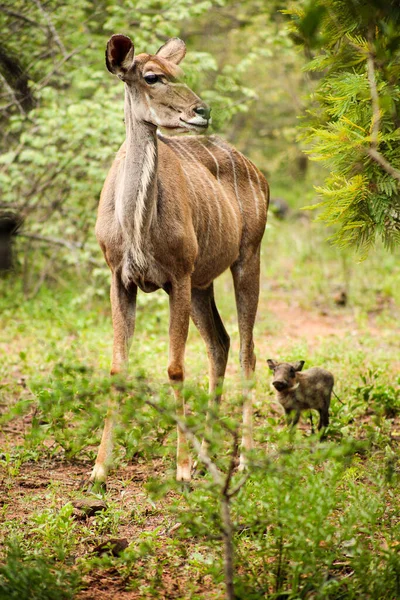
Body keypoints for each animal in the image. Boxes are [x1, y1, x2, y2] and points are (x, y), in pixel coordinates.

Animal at [91, 34, 268, 488]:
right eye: (152, 76)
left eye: (178, 72)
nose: (201, 112)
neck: (136, 225)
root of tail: (258, 172)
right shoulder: (120, 278)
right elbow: (117, 368)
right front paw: (99, 469)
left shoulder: (178, 276)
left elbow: (174, 367)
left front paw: (183, 469)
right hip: (205, 282)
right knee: (221, 343)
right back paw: (210, 453)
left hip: (247, 260)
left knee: (247, 351)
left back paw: (244, 459)